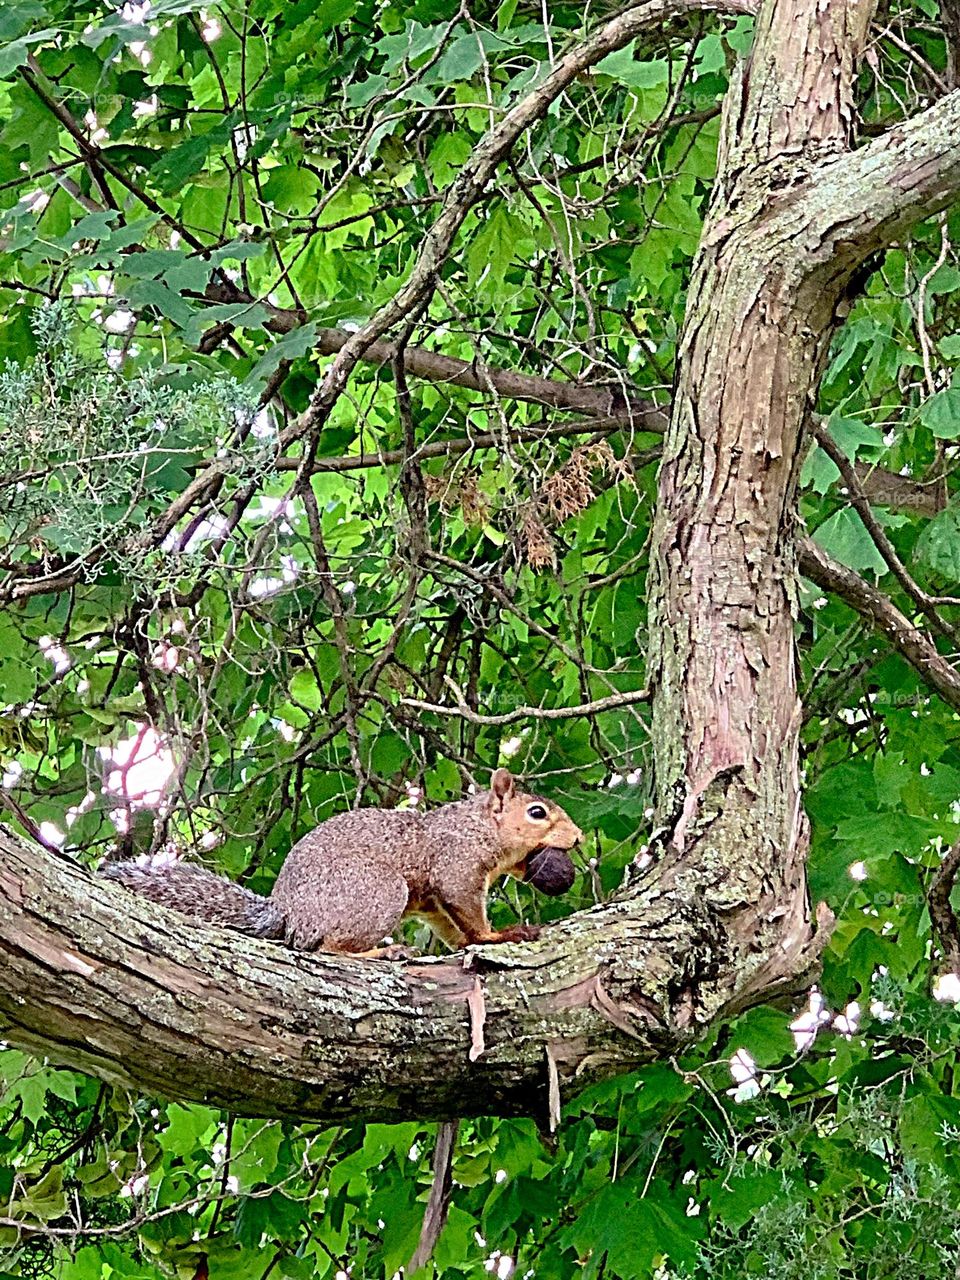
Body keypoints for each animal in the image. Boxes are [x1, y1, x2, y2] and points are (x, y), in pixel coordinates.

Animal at [102, 768, 582, 954]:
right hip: (378, 891)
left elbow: (453, 927)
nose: (577, 838)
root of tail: (290, 912)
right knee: (329, 948)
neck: (478, 827)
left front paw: (470, 943)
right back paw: (379, 954)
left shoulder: (431, 903)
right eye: (536, 813)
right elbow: (469, 909)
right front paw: (498, 935)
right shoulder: (455, 866)